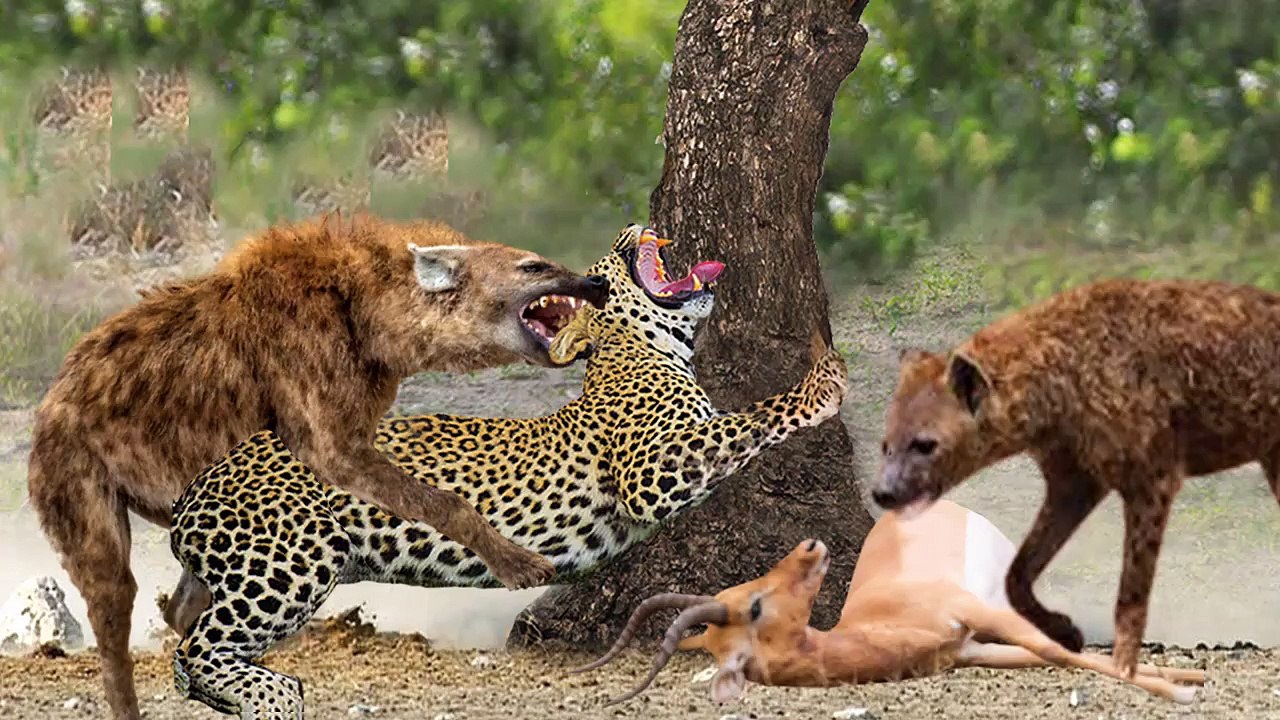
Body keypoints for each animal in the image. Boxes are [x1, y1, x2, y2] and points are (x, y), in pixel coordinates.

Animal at [165, 224, 850, 717]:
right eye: (608, 261)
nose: (633, 225)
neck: (641, 353)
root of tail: (192, 492)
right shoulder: (649, 475)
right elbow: (747, 419)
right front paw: (821, 385)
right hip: (293, 557)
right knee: (194, 649)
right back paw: (274, 696)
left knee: (187, 640)